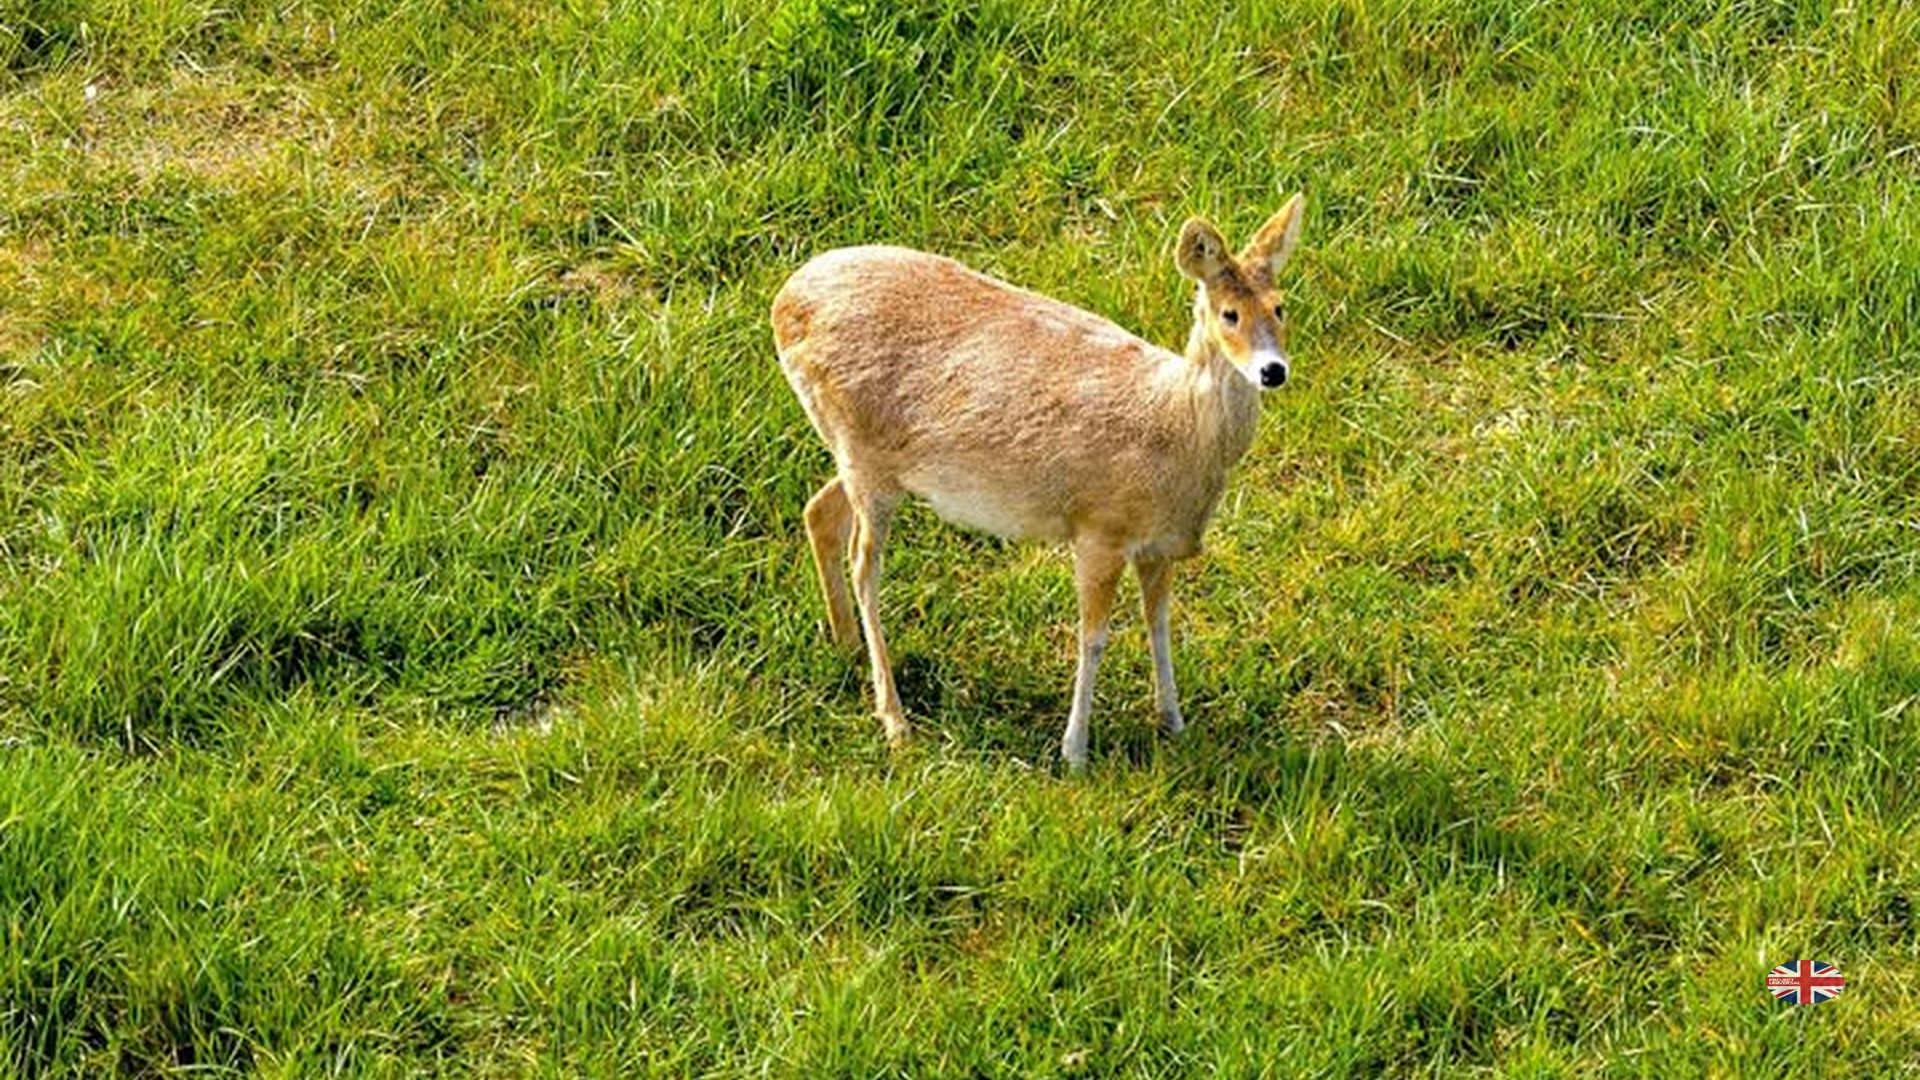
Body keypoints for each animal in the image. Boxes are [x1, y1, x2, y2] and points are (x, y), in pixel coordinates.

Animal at [770, 195, 1304, 769]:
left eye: (1280, 306)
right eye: (1229, 314)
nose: (1273, 370)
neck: (1176, 427)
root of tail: (784, 301)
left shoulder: (1159, 545)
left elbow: (1159, 623)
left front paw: (1174, 725)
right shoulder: (1099, 529)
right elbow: (1093, 638)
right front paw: (1075, 753)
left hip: (864, 459)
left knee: (818, 511)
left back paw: (848, 646)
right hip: (862, 454)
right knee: (864, 566)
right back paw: (894, 719)